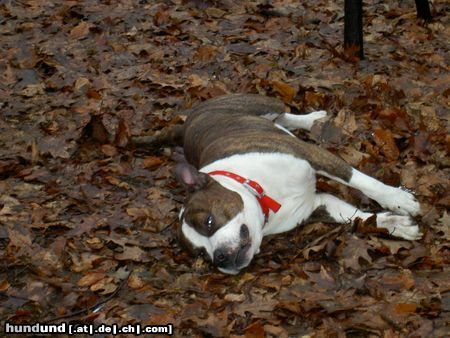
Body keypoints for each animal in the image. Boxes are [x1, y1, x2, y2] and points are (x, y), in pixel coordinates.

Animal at [144, 94, 422, 274]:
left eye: (209, 222)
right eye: (202, 254)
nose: (219, 258)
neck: (265, 197)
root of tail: (185, 124)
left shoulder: (313, 155)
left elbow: (360, 180)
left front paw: (396, 199)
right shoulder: (317, 206)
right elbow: (355, 216)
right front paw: (394, 225)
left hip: (262, 104)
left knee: (283, 114)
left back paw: (311, 119)